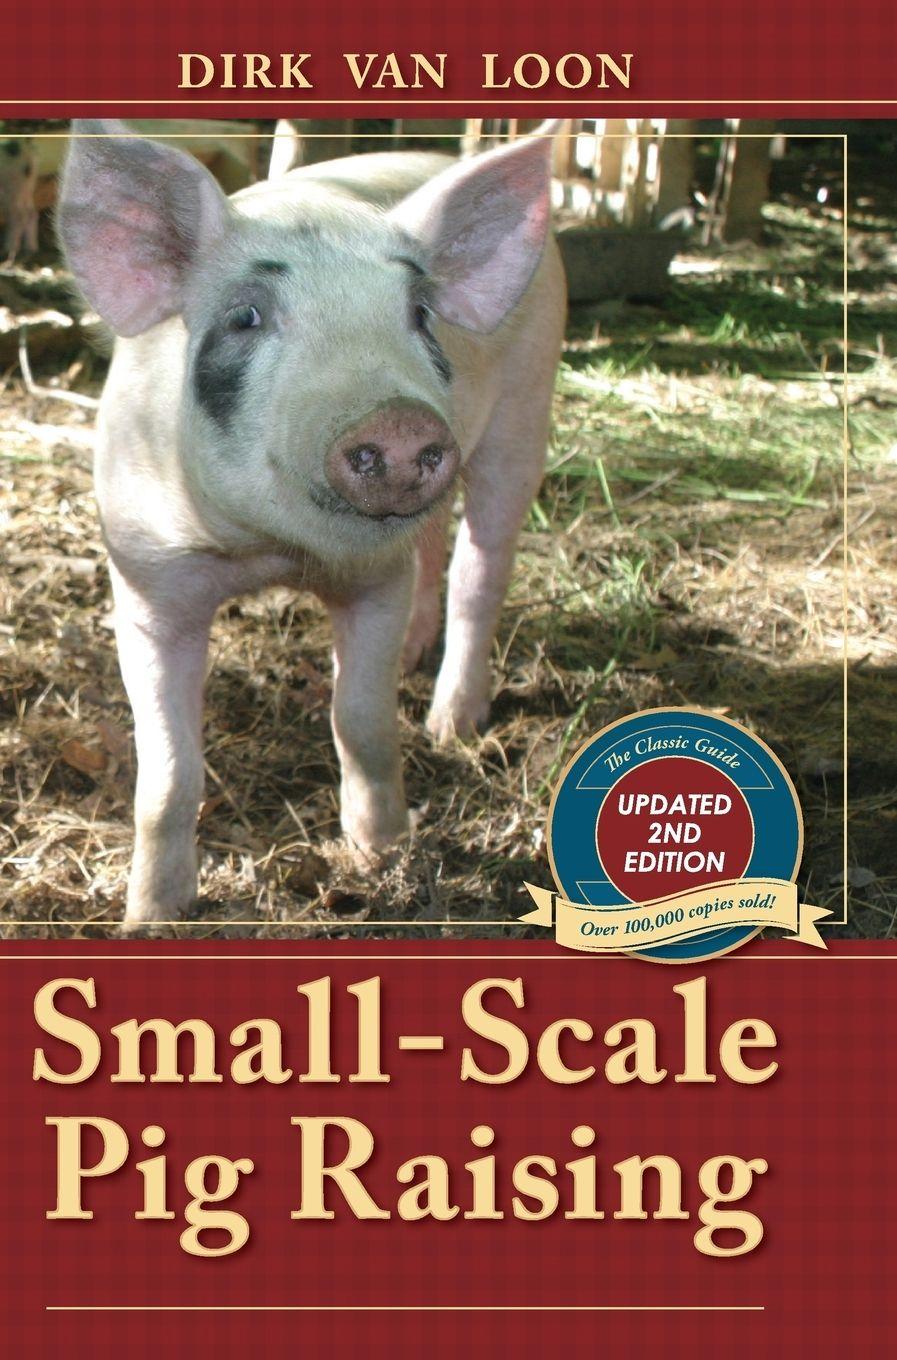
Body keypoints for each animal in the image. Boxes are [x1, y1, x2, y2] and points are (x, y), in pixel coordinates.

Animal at [57, 118, 566, 928]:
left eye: (418, 315)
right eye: (246, 317)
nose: (398, 420)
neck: (269, 552)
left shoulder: (374, 579)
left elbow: (360, 722)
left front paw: (383, 856)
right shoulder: (144, 579)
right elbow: (166, 774)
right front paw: (151, 920)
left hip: (526, 407)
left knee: (480, 564)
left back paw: (451, 725)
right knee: (433, 547)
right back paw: (416, 664)